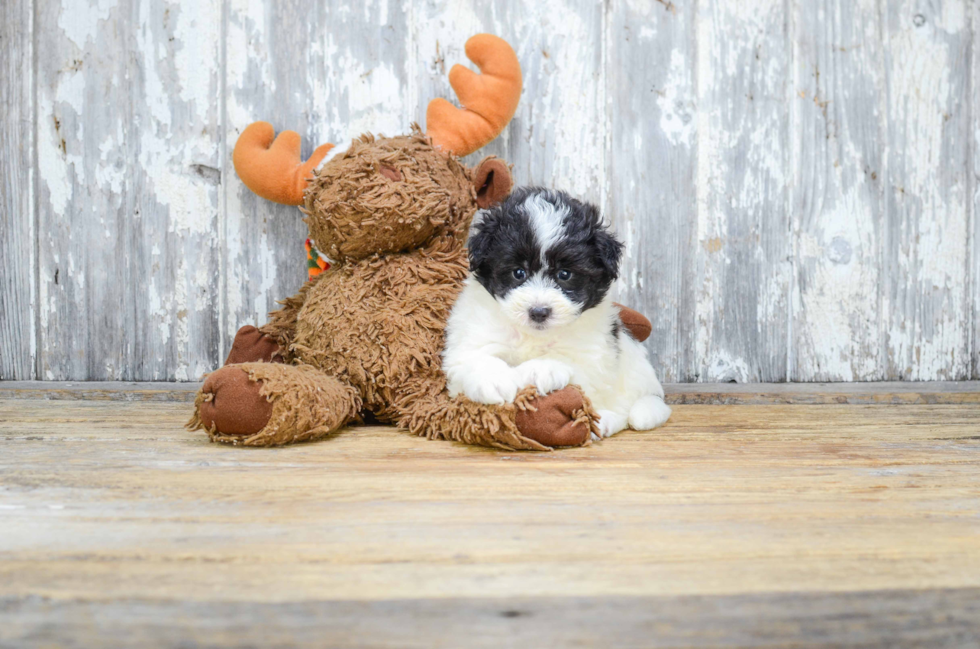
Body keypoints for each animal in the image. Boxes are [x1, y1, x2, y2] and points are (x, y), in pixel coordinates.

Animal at [442, 189, 668, 440]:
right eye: (518, 273)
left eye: (564, 274)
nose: (539, 312)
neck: (533, 335)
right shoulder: (471, 338)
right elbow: (474, 357)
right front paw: (495, 380)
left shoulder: (593, 357)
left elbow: (565, 360)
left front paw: (540, 369)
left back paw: (604, 422)